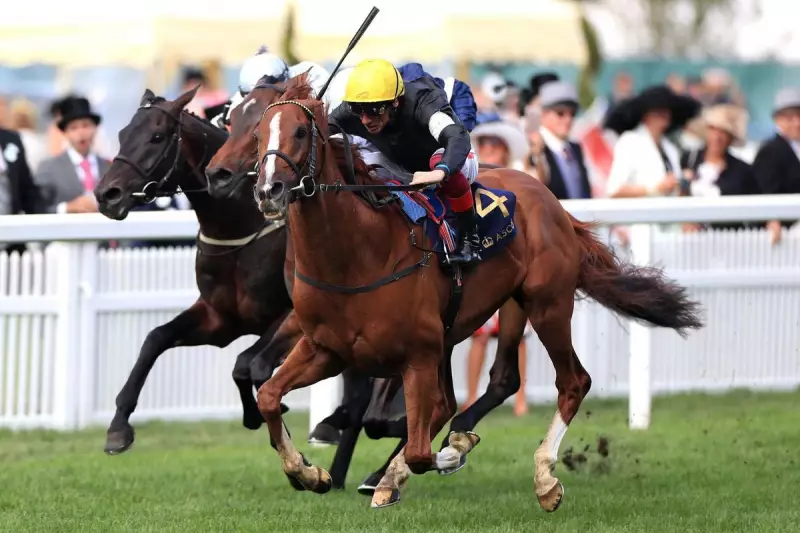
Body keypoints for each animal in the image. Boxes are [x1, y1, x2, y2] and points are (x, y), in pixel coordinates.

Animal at [93, 86, 300, 456]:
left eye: (157, 136)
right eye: (121, 135)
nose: (107, 194)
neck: (241, 227)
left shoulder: (291, 314)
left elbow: (247, 364)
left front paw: (264, 417)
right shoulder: (220, 319)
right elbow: (154, 338)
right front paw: (118, 428)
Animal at [249, 81, 704, 510]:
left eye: (301, 131)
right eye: (257, 133)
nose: (269, 190)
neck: (358, 255)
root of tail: (551, 200)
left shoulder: (416, 355)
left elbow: (420, 451)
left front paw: (451, 451)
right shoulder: (326, 349)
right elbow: (269, 395)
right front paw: (309, 473)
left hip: (546, 304)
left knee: (572, 381)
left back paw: (543, 478)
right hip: (485, 318)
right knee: (483, 387)